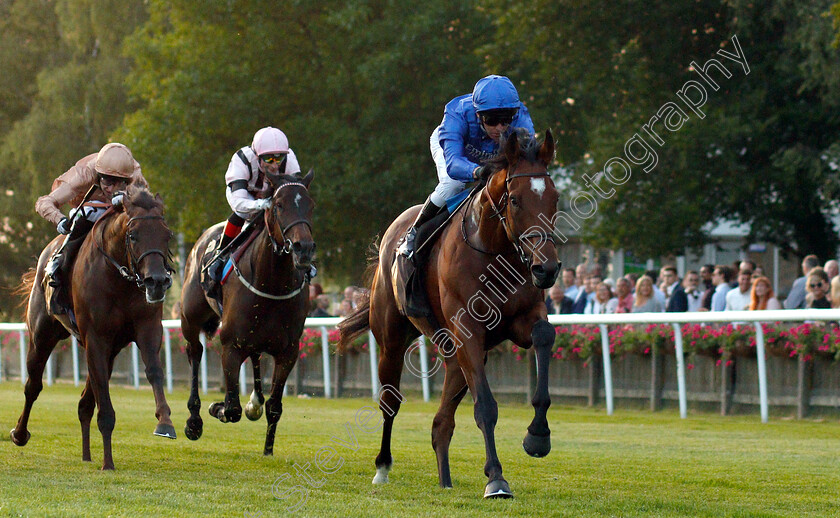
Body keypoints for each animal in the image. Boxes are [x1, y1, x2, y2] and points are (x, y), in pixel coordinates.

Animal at [11, 186, 176, 472]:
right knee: (33, 386)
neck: (119, 279)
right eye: (133, 235)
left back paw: (87, 454)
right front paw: (108, 463)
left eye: (166, 235)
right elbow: (105, 407)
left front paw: (165, 422)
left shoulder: (147, 328)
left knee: (84, 403)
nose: (156, 281)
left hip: (108, 350)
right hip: (42, 336)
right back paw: (20, 434)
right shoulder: (96, 338)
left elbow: (154, 371)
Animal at [180, 171, 316, 456]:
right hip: (190, 318)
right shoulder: (231, 346)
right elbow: (232, 407)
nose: (304, 248)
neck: (271, 283)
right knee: (194, 352)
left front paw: (268, 450)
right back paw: (194, 420)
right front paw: (216, 407)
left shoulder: (288, 351)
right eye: (278, 206)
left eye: (311, 205)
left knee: (255, 357)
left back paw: (254, 401)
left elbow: (274, 407)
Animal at [338, 130, 560, 500]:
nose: (547, 268)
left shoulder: (523, 317)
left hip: (454, 353)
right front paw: (496, 478)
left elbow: (544, 335)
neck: (493, 249)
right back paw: (382, 467)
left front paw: (538, 436)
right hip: (393, 340)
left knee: (441, 422)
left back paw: (445, 479)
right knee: (389, 401)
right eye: (515, 200)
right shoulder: (467, 328)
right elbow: (485, 406)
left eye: (555, 198)